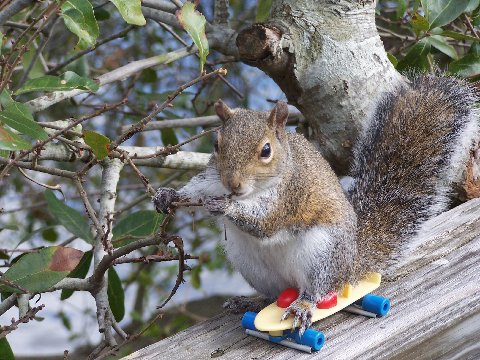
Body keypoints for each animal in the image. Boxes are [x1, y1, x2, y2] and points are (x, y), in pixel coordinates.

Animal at [155, 74, 480, 334]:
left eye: (266, 150)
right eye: (216, 145)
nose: (232, 185)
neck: (251, 192)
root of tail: (349, 268)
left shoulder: (290, 196)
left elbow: (265, 223)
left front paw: (225, 208)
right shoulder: (212, 179)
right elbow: (196, 190)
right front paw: (167, 196)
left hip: (322, 253)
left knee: (318, 290)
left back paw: (303, 306)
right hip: (251, 264)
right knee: (275, 295)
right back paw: (251, 302)